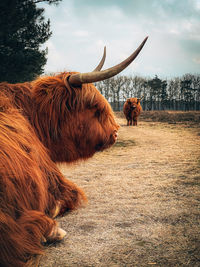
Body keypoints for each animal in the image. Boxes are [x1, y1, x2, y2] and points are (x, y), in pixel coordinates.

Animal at [0, 36, 147, 266]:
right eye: (94, 107)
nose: (115, 132)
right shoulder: (53, 176)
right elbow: (71, 196)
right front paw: (53, 210)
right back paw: (51, 230)